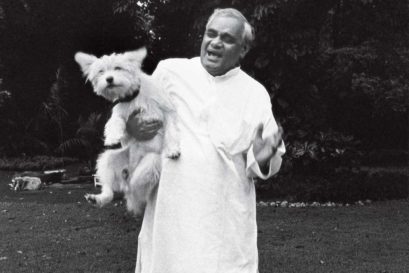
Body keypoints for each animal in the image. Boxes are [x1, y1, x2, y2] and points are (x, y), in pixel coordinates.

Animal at [75, 47, 180, 215]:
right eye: (101, 71)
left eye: (118, 68)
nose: (109, 79)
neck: (132, 98)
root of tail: (128, 172)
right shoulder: (121, 113)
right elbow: (115, 122)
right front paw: (112, 137)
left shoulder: (167, 111)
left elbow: (171, 130)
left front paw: (173, 149)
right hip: (108, 159)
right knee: (110, 191)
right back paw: (98, 198)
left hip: (151, 163)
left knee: (134, 188)